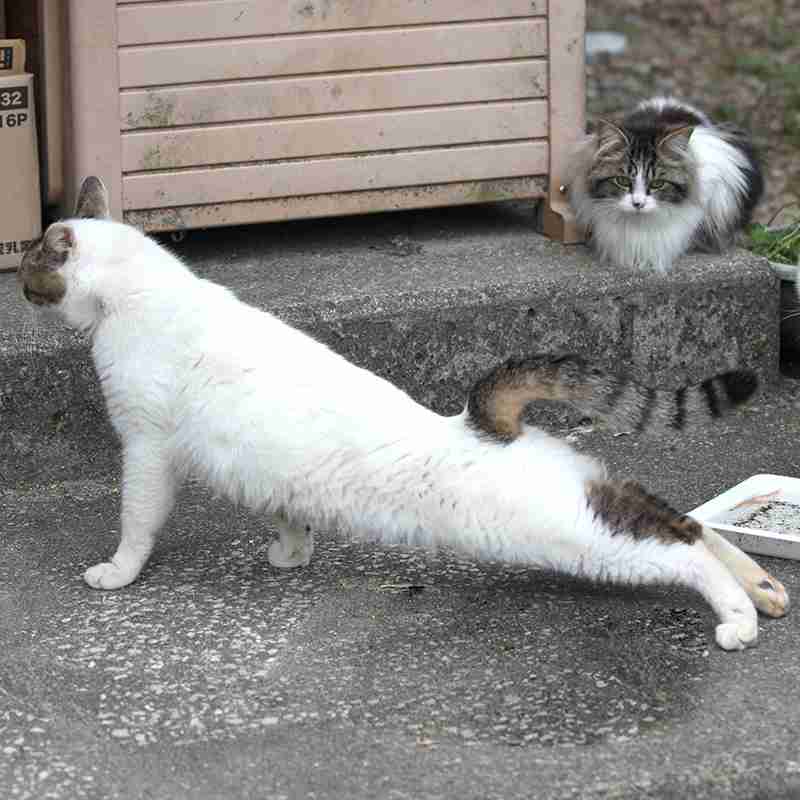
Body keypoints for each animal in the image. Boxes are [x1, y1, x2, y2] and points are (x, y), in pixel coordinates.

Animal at [18, 176, 788, 652]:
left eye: (29, 265)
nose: (20, 288)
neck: (139, 291)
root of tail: (480, 422)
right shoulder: (262, 468)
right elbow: (284, 511)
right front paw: (292, 553)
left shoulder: (145, 447)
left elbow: (137, 521)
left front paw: (117, 572)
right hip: (591, 500)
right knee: (681, 520)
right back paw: (766, 590)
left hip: (575, 538)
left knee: (681, 549)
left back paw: (738, 619)